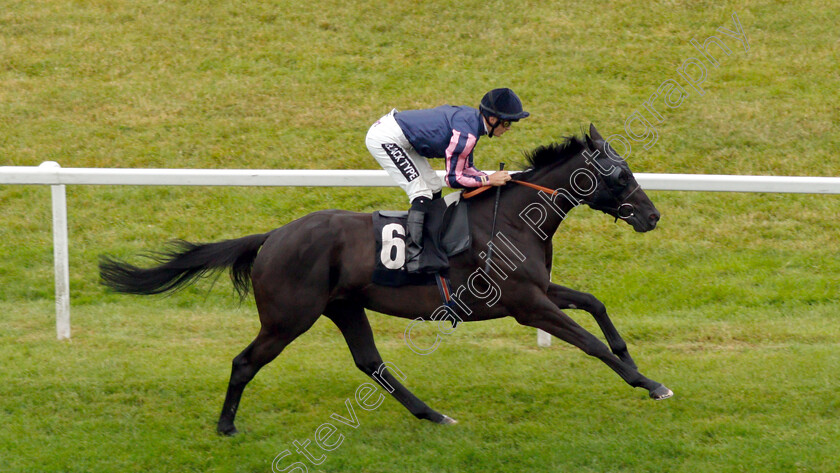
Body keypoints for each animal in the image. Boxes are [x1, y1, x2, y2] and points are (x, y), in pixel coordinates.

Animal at [100, 122, 676, 436]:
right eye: (619, 174)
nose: (652, 216)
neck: (513, 218)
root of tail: (274, 236)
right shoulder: (525, 305)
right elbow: (587, 343)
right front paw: (649, 384)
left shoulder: (538, 292)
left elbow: (595, 304)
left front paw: (634, 361)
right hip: (289, 318)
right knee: (245, 362)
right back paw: (226, 426)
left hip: (343, 306)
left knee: (370, 363)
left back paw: (434, 415)